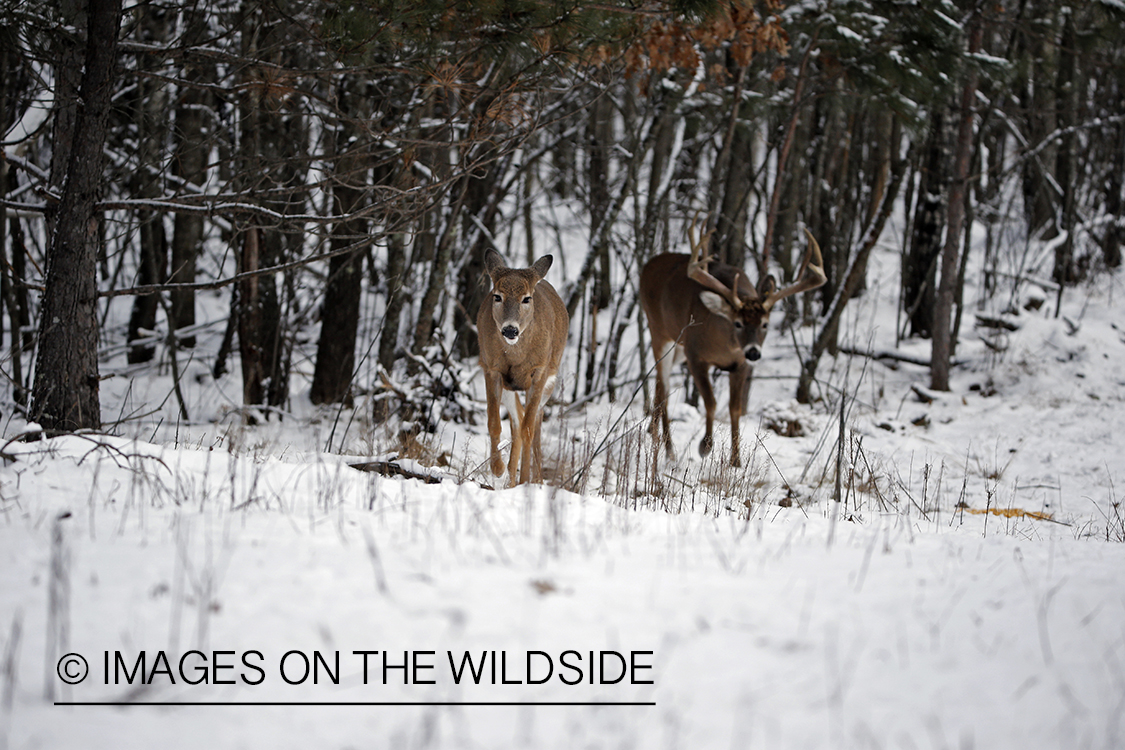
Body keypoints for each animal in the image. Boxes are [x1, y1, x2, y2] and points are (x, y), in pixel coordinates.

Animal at [477, 250, 571, 488]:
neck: (516, 355)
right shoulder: (491, 368)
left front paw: (526, 480)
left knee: (534, 421)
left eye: (526, 298)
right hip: (509, 386)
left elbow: (529, 429)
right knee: (518, 420)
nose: (510, 330)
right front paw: (497, 469)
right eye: (497, 296)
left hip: (549, 380)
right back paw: (510, 479)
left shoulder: (539, 372)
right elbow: (494, 422)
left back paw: (534, 479)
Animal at [643, 218, 828, 463]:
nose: (753, 352)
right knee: (663, 385)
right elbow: (711, 402)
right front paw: (705, 446)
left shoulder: (740, 365)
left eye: (765, 324)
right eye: (738, 323)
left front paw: (736, 460)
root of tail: (647, 265)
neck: (725, 346)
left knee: (658, 381)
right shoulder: (695, 356)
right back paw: (669, 449)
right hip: (659, 331)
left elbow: (735, 409)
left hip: (677, 347)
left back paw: (652, 432)